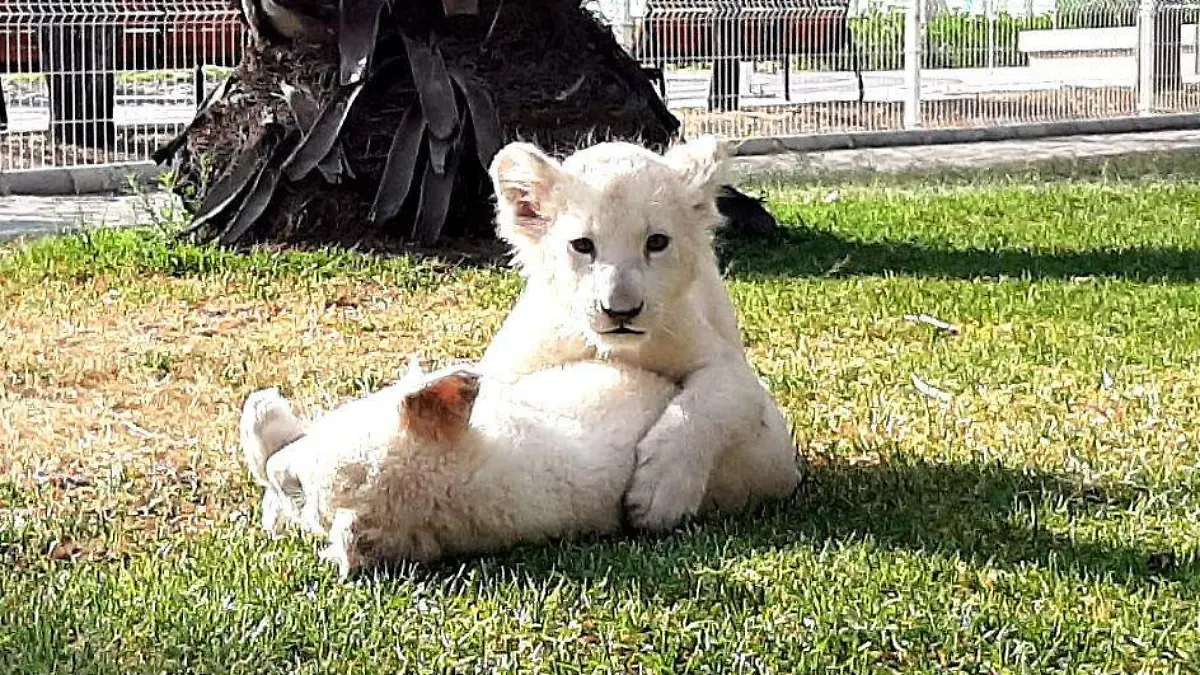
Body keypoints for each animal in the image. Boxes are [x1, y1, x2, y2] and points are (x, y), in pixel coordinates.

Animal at [481, 135, 802, 532]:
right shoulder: (513, 365)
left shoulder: (729, 365)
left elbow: (707, 404)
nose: (620, 311)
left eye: (656, 242)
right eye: (583, 245)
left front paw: (659, 495)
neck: (617, 350)